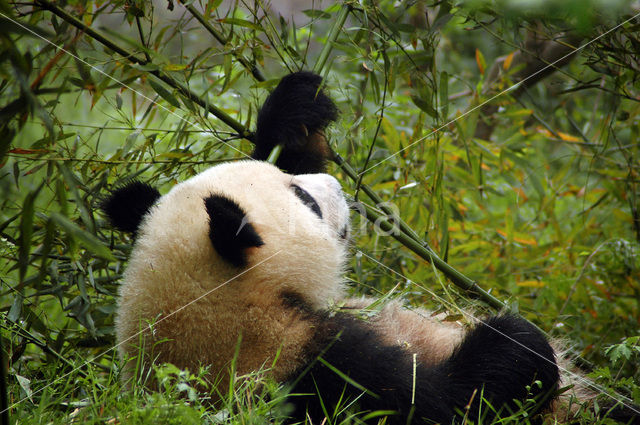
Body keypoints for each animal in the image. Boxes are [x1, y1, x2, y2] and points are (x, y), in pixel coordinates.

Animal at [101, 71, 636, 422]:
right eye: (304, 200)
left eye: (292, 180)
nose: (337, 187)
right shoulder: (310, 372)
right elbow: (446, 404)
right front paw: (515, 339)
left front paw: (295, 108)